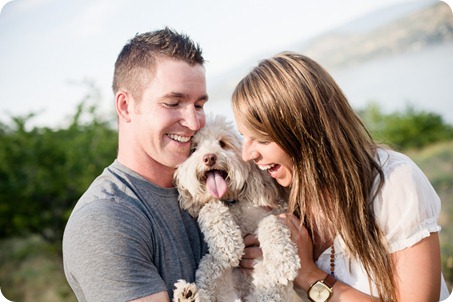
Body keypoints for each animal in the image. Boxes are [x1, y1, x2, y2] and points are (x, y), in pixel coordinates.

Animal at [173, 114, 300, 300]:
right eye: (194, 149)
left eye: (222, 143)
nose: (209, 158)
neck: (231, 202)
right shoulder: (210, 205)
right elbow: (209, 207)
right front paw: (229, 244)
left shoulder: (275, 212)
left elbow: (272, 223)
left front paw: (283, 261)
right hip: (210, 266)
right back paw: (186, 294)